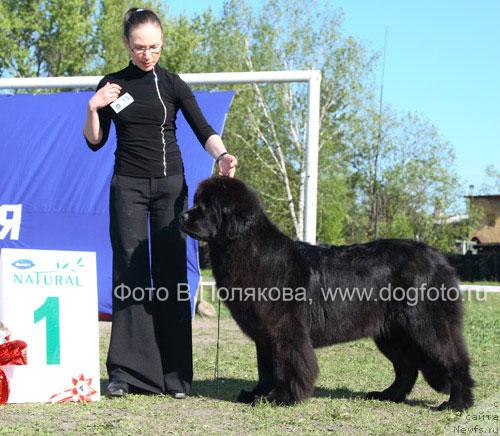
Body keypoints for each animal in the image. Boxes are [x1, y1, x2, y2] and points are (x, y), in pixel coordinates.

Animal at [180, 175, 472, 410]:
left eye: (207, 206)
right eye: (196, 201)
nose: (183, 216)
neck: (247, 250)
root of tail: (439, 258)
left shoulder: (286, 330)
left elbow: (288, 366)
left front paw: (282, 398)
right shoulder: (264, 335)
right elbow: (266, 369)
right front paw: (257, 394)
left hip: (427, 325)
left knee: (454, 360)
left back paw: (457, 404)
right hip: (392, 333)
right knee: (407, 366)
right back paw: (388, 395)